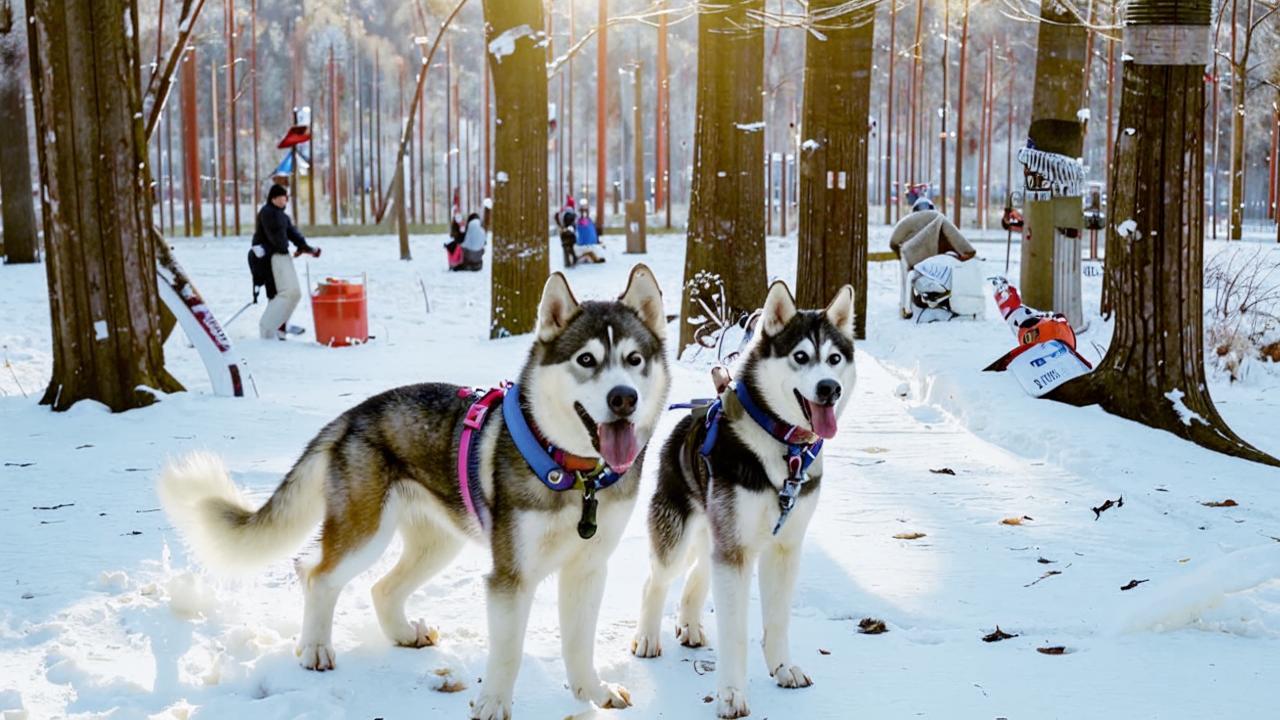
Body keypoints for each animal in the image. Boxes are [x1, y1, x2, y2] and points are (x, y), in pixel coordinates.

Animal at [160, 265, 670, 717]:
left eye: (634, 360)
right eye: (586, 360)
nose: (624, 398)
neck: (574, 473)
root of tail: (352, 414)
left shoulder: (588, 569)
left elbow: (580, 645)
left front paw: (594, 694)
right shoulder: (510, 577)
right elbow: (507, 653)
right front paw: (492, 706)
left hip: (438, 543)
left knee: (381, 587)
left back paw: (403, 633)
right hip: (365, 533)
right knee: (316, 573)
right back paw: (315, 647)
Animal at [632, 281, 855, 717]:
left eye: (834, 359)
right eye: (800, 356)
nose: (829, 388)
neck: (783, 446)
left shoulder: (783, 547)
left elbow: (778, 619)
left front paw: (783, 668)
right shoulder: (735, 551)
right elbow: (734, 632)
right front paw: (732, 693)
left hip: (718, 532)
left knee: (698, 574)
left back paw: (690, 624)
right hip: (682, 535)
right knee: (656, 579)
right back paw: (648, 637)